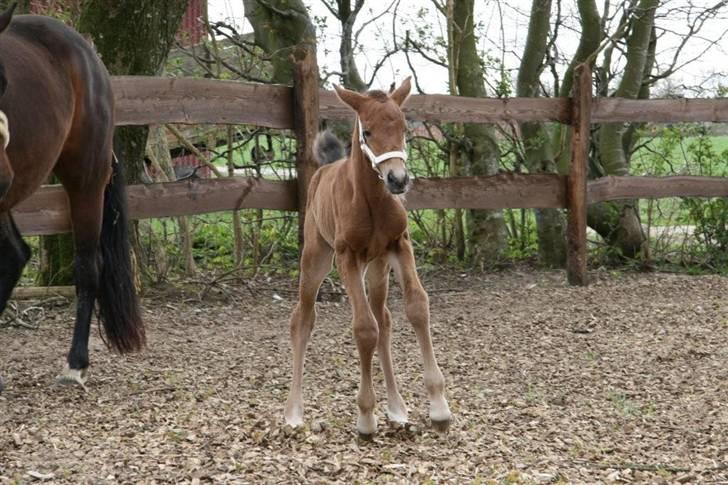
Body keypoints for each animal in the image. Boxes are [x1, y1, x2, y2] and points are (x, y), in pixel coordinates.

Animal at [0, 5, 144, 392]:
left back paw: (76, 364)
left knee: (88, 267)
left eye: (3, 84)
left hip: (86, 180)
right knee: (15, 255)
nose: (3, 176)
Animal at [282, 78, 450, 434]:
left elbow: (417, 308)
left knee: (383, 317)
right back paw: (293, 412)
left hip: (377, 266)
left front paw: (439, 408)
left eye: (403, 128)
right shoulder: (347, 257)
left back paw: (398, 408)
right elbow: (363, 329)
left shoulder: (400, 245)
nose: (398, 180)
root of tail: (323, 170)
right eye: (368, 131)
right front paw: (366, 416)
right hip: (317, 257)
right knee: (303, 318)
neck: (371, 199)